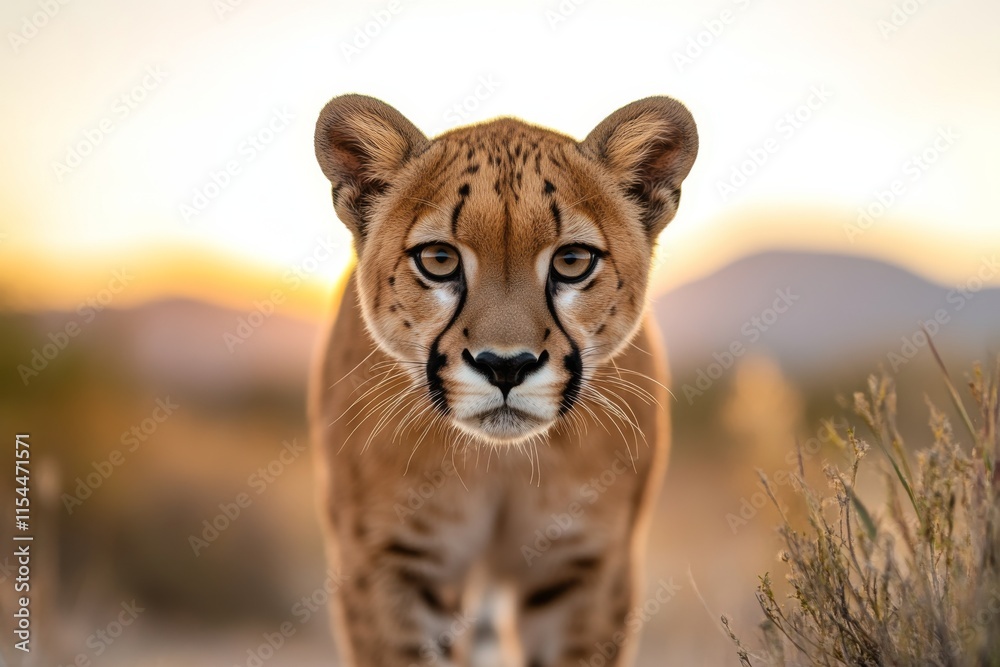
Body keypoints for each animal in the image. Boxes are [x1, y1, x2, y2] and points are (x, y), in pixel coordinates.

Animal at [309, 93, 698, 666]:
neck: (502, 462)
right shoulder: (388, 557)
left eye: (573, 261)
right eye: (439, 259)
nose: (505, 366)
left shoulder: (584, 563)